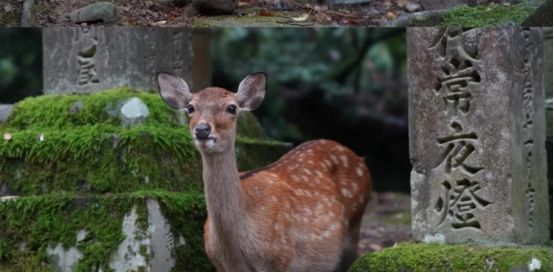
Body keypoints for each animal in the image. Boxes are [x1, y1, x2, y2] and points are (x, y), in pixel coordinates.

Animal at [156, 71, 370, 270]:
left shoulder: (278, 259)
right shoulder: (220, 264)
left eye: (231, 108)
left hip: (354, 228)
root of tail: (360, 159)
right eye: (190, 107)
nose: (202, 129)